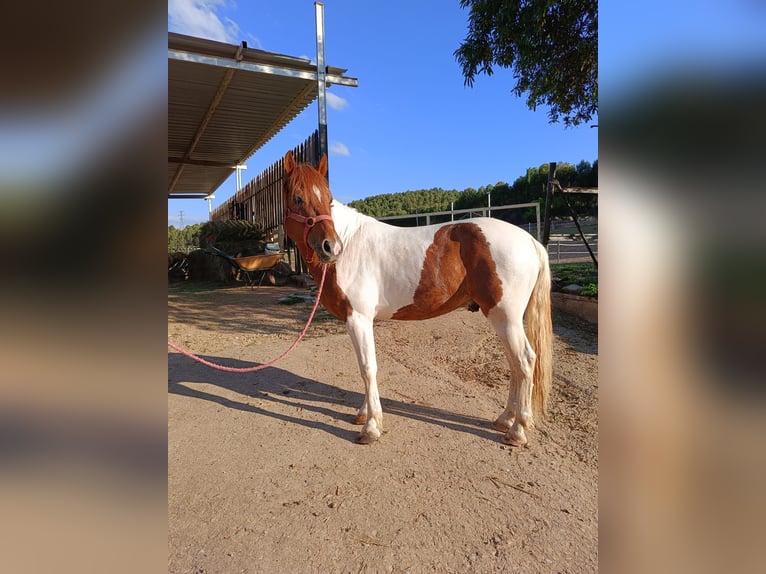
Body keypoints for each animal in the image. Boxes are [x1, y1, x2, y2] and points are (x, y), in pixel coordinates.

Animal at [282, 151, 552, 448]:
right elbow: (364, 366)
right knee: (515, 365)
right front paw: (364, 414)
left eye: (328, 198)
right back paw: (505, 419)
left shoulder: (359, 318)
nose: (331, 247)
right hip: (502, 319)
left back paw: (517, 430)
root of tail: (530, 241)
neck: (351, 243)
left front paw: (372, 427)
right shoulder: (356, 321)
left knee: (525, 361)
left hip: (506, 317)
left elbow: (368, 367)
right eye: (297, 197)